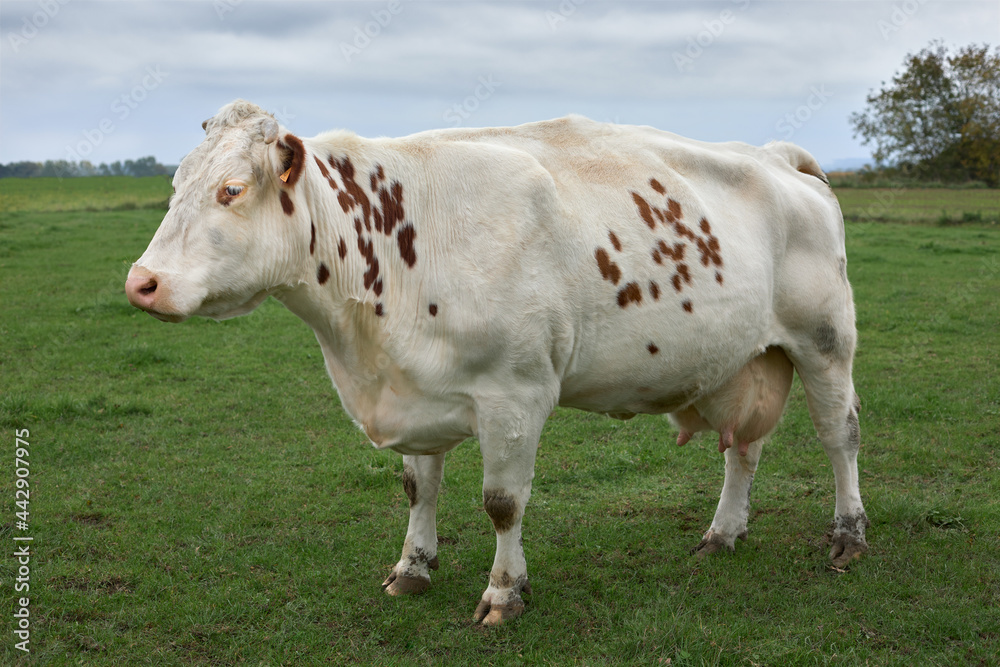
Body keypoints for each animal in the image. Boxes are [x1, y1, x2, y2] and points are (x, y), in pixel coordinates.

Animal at [129, 99, 872, 628]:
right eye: (175, 185)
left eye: (231, 190)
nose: (142, 282)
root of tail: (773, 155)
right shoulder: (416, 388)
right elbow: (419, 488)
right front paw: (412, 566)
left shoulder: (516, 394)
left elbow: (502, 502)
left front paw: (504, 592)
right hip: (742, 357)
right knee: (742, 448)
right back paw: (722, 533)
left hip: (825, 340)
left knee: (840, 436)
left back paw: (848, 535)